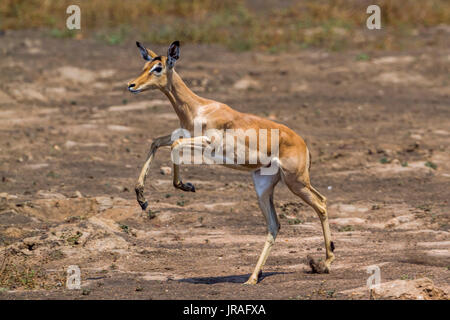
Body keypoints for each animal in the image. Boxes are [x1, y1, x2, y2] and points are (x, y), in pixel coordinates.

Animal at [126, 41, 334, 284]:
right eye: (144, 64)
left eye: (158, 67)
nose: (131, 85)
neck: (199, 108)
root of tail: (304, 145)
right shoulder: (183, 134)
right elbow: (156, 142)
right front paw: (142, 199)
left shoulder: (207, 143)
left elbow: (175, 145)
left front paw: (186, 186)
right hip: (264, 188)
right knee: (274, 225)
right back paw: (252, 278)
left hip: (297, 182)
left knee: (321, 204)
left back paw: (326, 263)